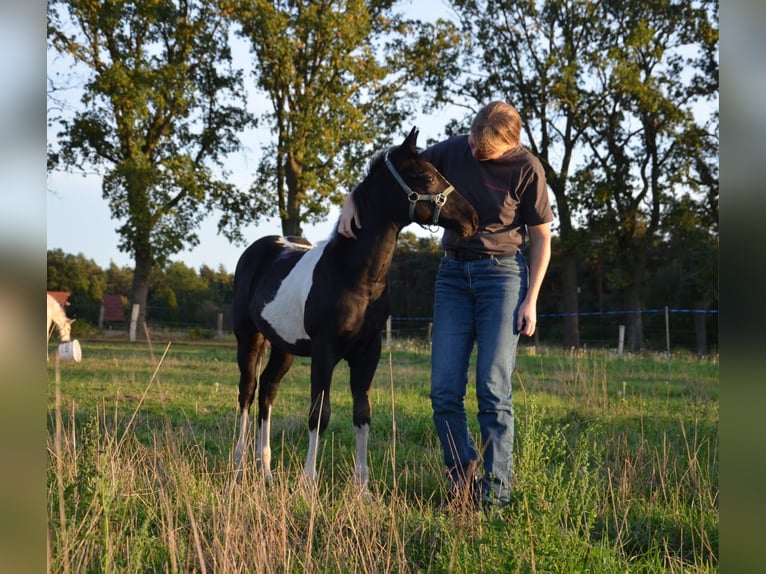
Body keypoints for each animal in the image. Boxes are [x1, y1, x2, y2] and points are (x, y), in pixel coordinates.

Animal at [232, 127, 479, 489]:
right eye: (428, 176)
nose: (472, 218)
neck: (354, 276)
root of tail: (259, 248)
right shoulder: (325, 352)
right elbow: (319, 414)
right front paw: (309, 483)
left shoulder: (368, 351)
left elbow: (362, 412)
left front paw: (362, 487)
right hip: (248, 338)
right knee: (248, 391)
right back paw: (238, 464)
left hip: (283, 347)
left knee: (267, 390)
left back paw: (265, 470)